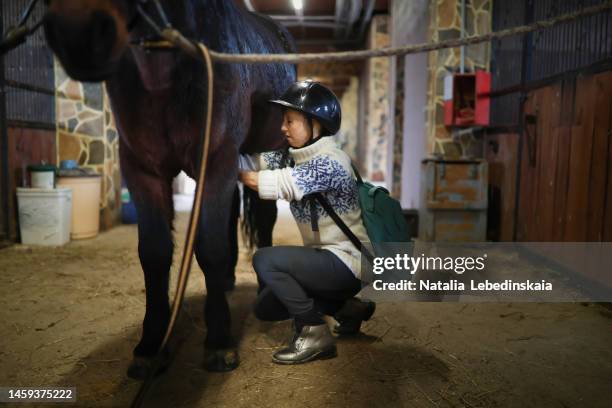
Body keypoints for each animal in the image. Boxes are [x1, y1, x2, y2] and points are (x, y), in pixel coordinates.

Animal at [41, 0, 296, 376]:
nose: (77, 33)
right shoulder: (143, 169)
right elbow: (155, 253)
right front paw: (150, 345)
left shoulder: (216, 156)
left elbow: (211, 248)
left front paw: (219, 342)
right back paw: (228, 280)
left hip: (270, 149)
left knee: (263, 217)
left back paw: (263, 287)